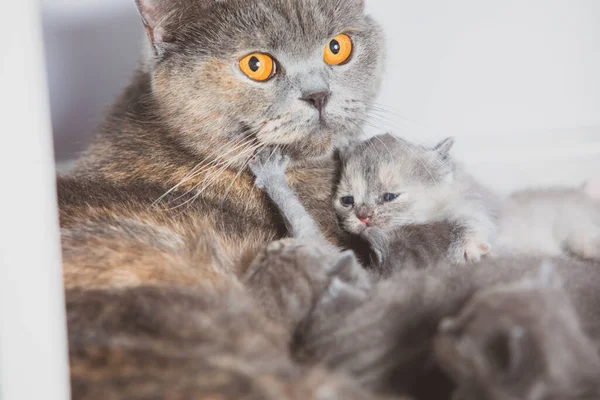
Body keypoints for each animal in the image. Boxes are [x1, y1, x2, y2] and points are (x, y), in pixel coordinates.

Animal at [336, 133, 500, 268]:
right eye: (347, 200)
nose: (363, 217)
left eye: (390, 196)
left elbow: (472, 216)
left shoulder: (473, 199)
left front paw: (467, 246)